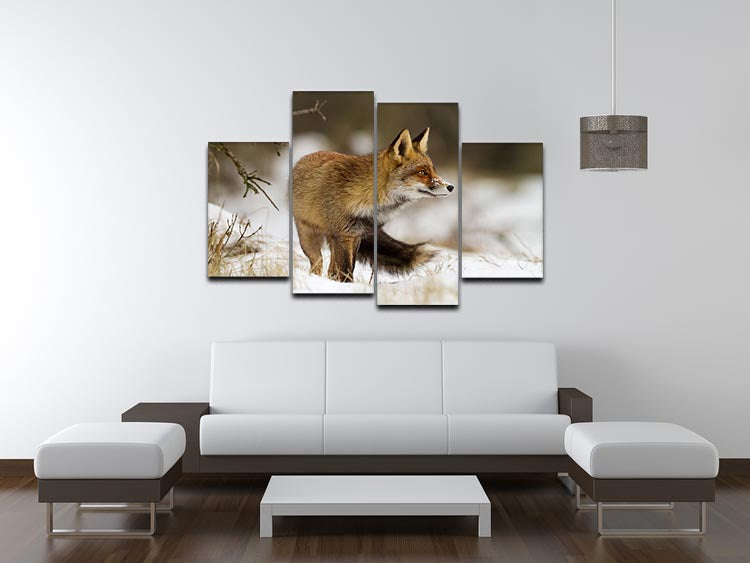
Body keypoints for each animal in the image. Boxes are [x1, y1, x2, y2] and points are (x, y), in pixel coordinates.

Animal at [292, 127, 454, 282]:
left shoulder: (357, 235)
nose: (451, 187)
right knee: (317, 264)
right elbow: (345, 271)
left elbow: (349, 268)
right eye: (422, 172)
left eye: (434, 170)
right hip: (309, 239)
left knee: (330, 270)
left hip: (333, 241)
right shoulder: (345, 235)